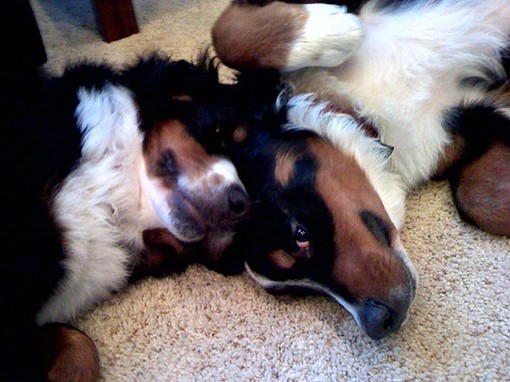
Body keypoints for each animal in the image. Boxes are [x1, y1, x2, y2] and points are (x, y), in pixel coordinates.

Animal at [211, 0, 510, 340]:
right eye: (301, 291)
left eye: (301, 234)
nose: (377, 323)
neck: (362, 110)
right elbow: (481, 200)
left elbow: (226, 33)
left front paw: (338, 31)